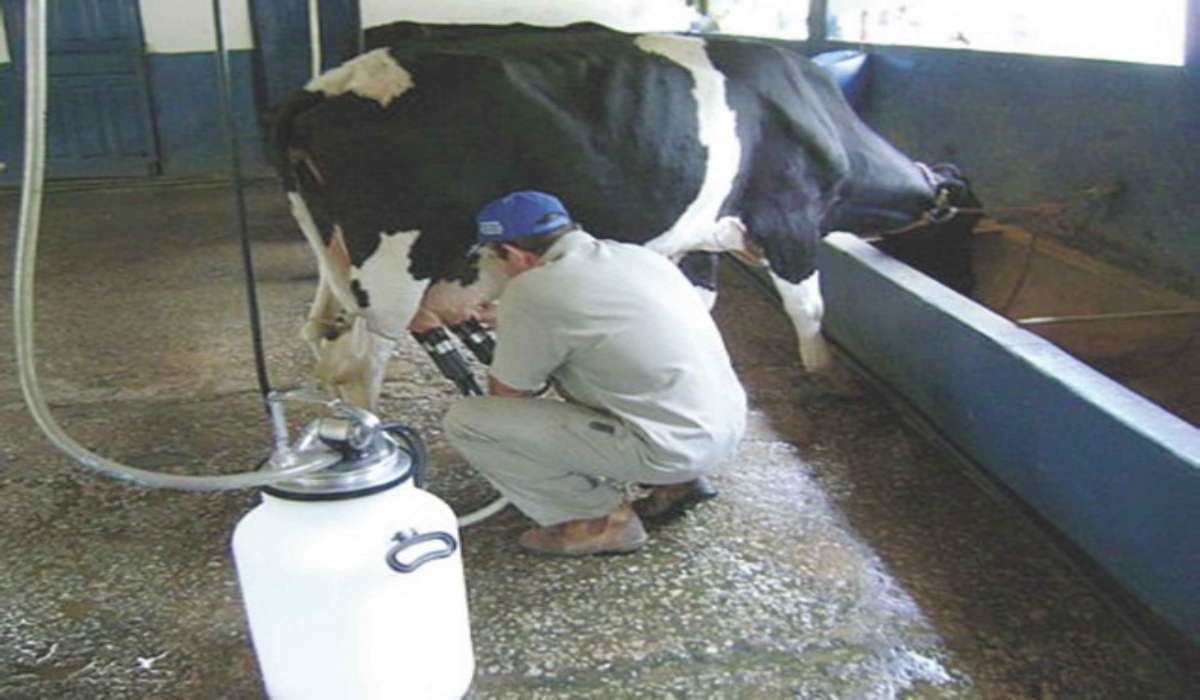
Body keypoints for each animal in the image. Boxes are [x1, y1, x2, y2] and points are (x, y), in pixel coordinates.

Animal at [272, 23, 974, 410]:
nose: (965, 282)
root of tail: (329, 83)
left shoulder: (704, 236)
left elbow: (702, 301)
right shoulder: (790, 219)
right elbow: (809, 307)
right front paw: (828, 377)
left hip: (335, 253)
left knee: (325, 337)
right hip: (396, 259)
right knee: (362, 359)